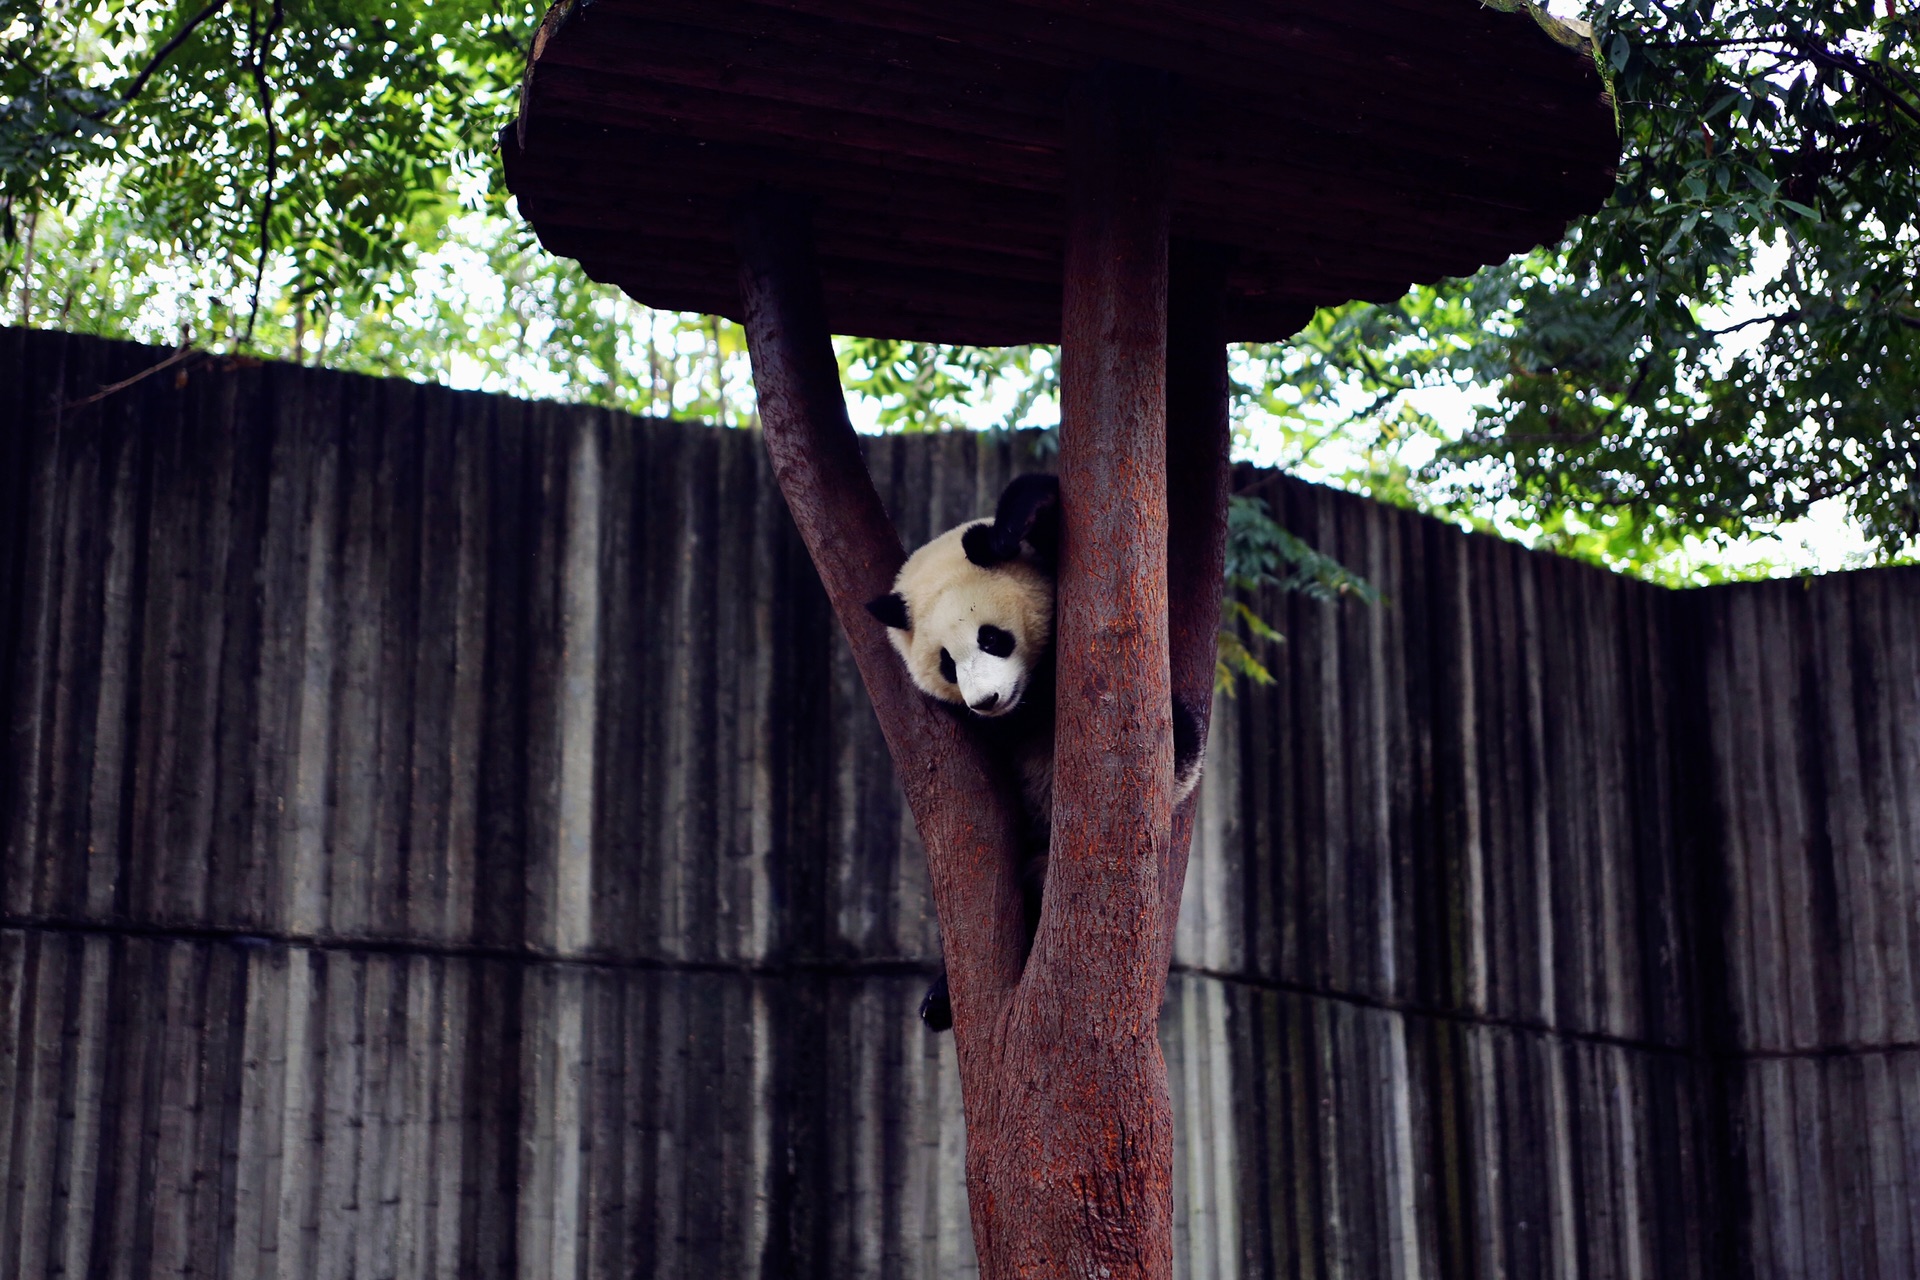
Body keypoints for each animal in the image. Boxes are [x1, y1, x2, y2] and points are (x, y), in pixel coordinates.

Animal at [871, 474, 1198, 1028]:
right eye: (946, 662)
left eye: (992, 638)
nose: (986, 700)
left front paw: (1010, 526)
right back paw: (939, 1000)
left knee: (1184, 737)